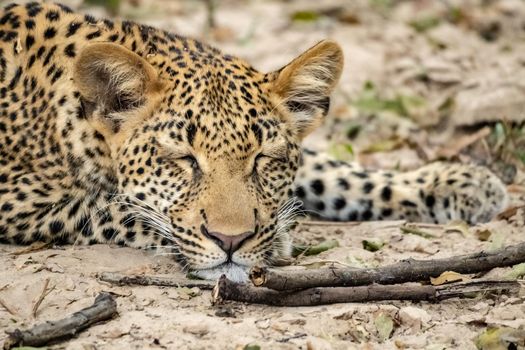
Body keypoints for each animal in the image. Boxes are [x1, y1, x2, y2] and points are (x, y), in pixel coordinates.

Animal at [0, 2, 508, 282]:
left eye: (263, 159)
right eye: (183, 159)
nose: (232, 240)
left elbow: (330, 169)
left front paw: (456, 183)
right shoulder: (19, 201)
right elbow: (114, 210)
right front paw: (275, 238)